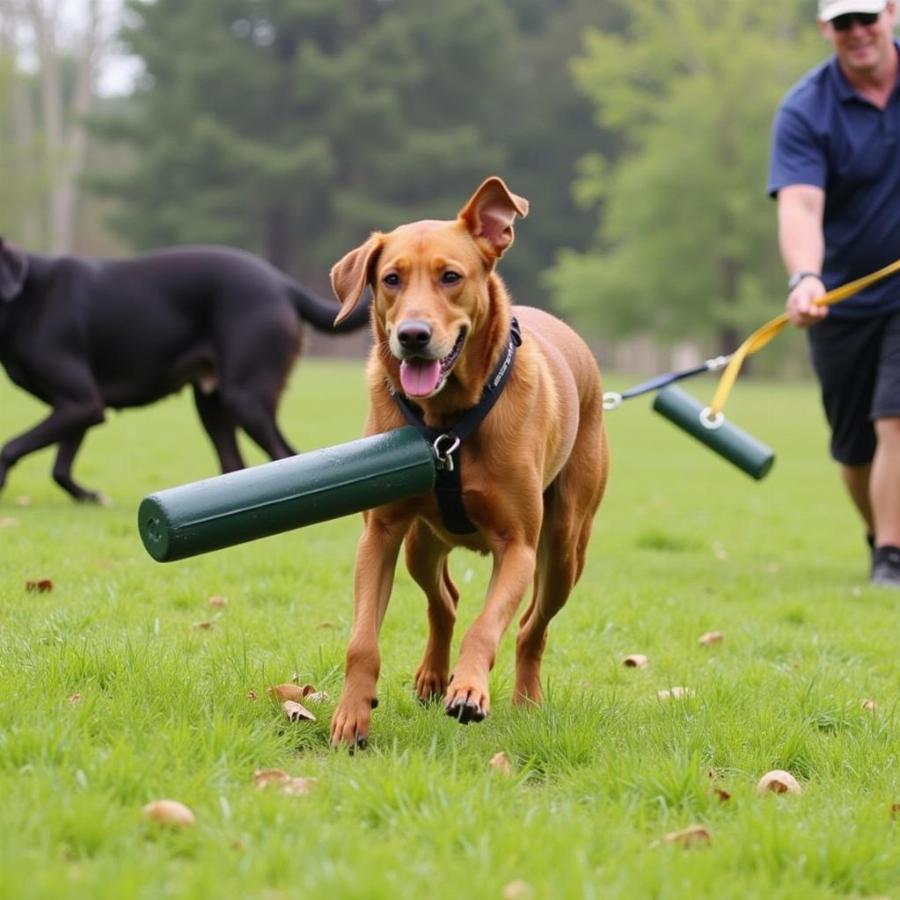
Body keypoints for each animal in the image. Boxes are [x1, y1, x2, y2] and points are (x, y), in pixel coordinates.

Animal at [0, 239, 370, 502]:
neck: (27, 299)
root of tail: (283, 284)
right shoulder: (78, 407)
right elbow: (60, 469)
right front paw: (90, 496)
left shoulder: (81, 403)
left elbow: (11, 448)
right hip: (211, 404)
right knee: (235, 467)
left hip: (246, 398)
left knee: (285, 455)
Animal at [326, 176, 608, 744]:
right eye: (390, 279)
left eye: (451, 276)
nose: (412, 335)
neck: (447, 424)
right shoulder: (380, 533)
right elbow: (363, 641)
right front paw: (351, 715)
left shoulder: (518, 545)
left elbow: (487, 627)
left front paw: (471, 691)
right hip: (421, 543)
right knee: (445, 600)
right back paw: (433, 676)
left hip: (565, 549)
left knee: (531, 628)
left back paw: (525, 700)